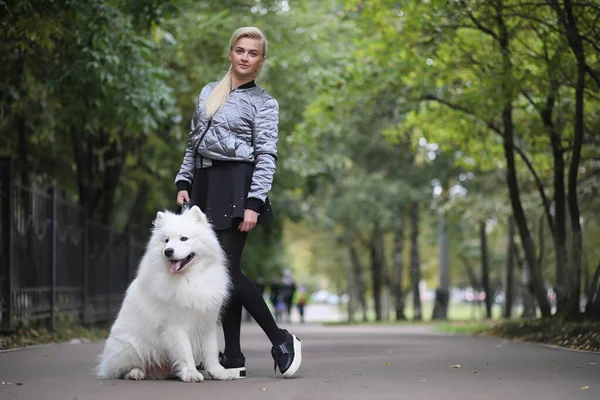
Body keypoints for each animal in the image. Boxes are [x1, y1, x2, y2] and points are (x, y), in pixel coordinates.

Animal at [96, 206, 234, 382]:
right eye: (166, 240)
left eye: (184, 238)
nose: (168, 251)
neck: (190, 278)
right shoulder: (175, 326)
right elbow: (185, 352)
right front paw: (191, 373)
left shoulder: (207, 322)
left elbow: (211, 350)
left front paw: (218, 372)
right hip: (131, 346)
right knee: (123, 369)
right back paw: (135, 373)